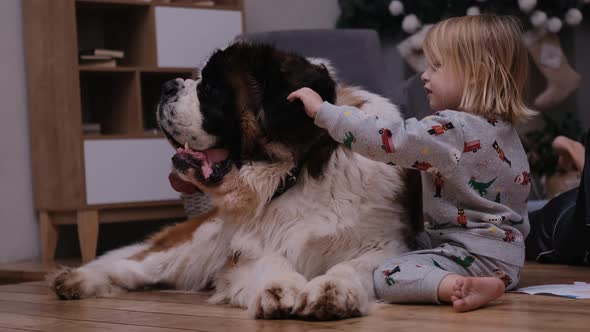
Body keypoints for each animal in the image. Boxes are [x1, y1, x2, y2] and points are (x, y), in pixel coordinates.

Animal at [48, 40, 424, 320]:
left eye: (211, 89)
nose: (166, 85)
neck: (295, 173)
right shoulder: (246, 253)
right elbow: (271, 261)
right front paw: (279, 288)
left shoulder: (386, 245)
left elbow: (353, 266)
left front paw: (332, 291)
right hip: (194, 245)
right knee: (133, 267)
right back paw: (77, 279)